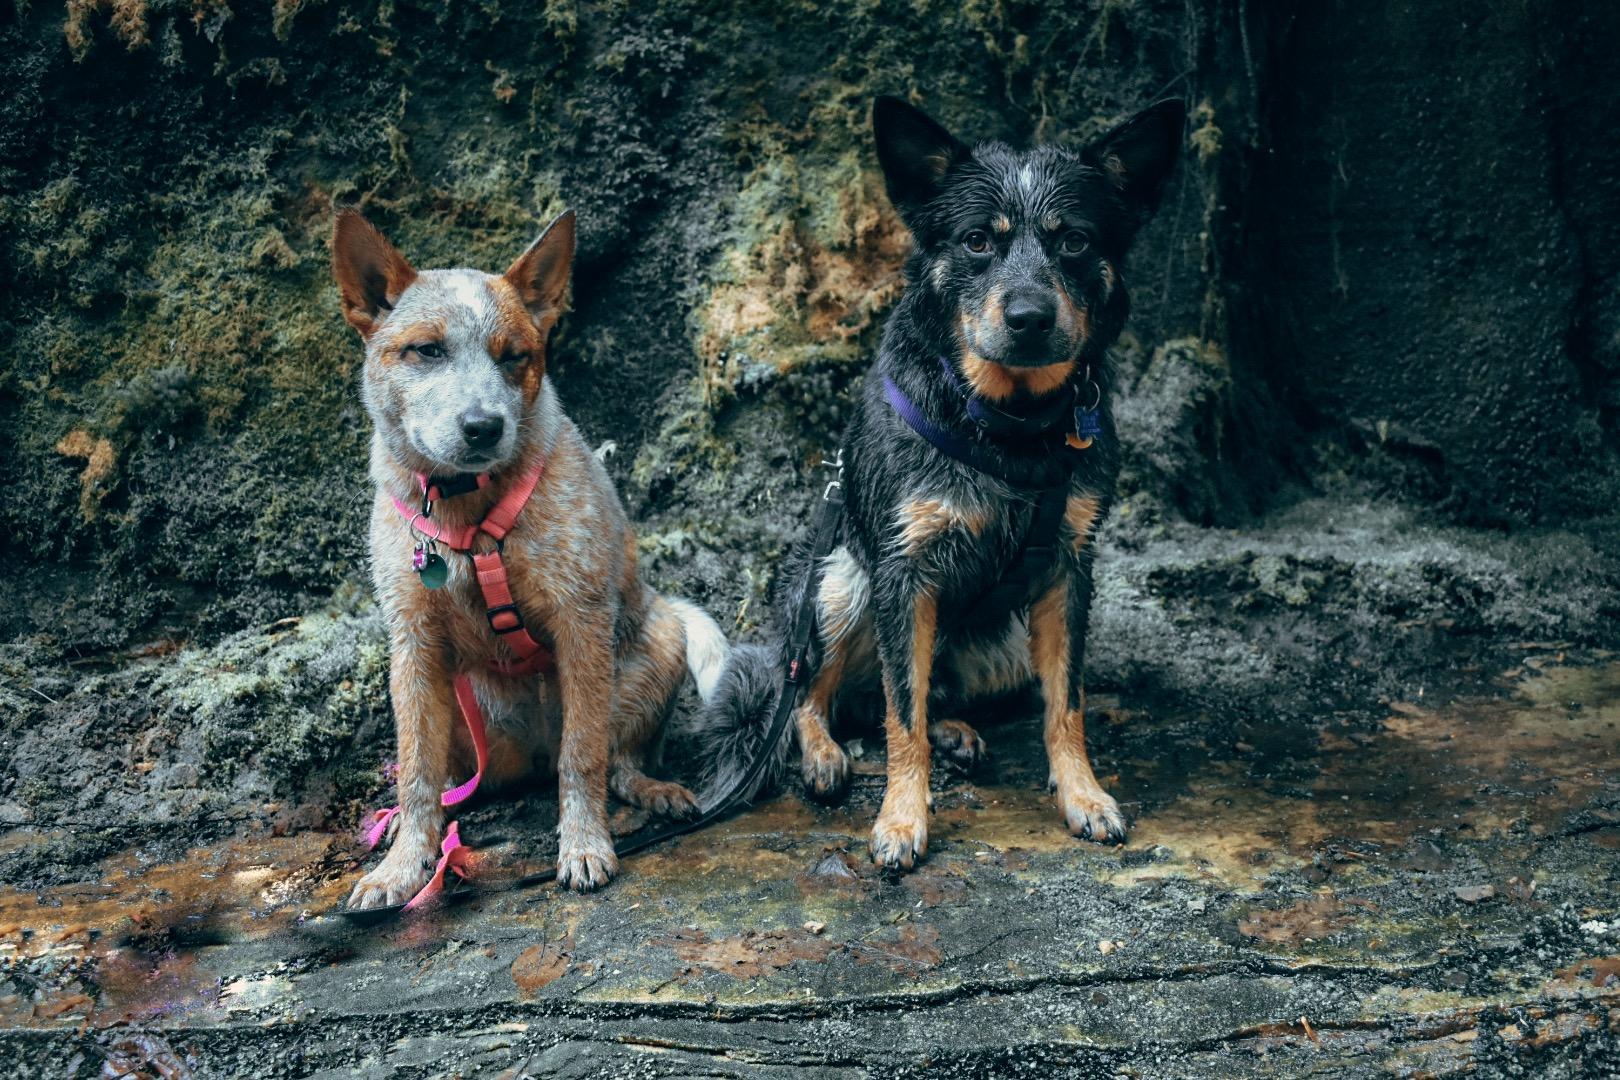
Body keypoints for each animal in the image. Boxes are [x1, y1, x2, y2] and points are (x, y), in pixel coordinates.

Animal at [699, 93, 1192, 867]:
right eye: (977, 241)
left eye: (1075, 242)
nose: (1029, 316)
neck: (1011, 427)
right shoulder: (903, 570)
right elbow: (900, 715)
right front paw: (902, 819)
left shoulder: (1070, 568)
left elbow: (1066, 705)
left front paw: (1084, 796)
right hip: (837, 582)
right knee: (818, 692)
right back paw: (823, 754)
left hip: (999, 644)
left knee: (910, 695)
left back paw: (953, 732)